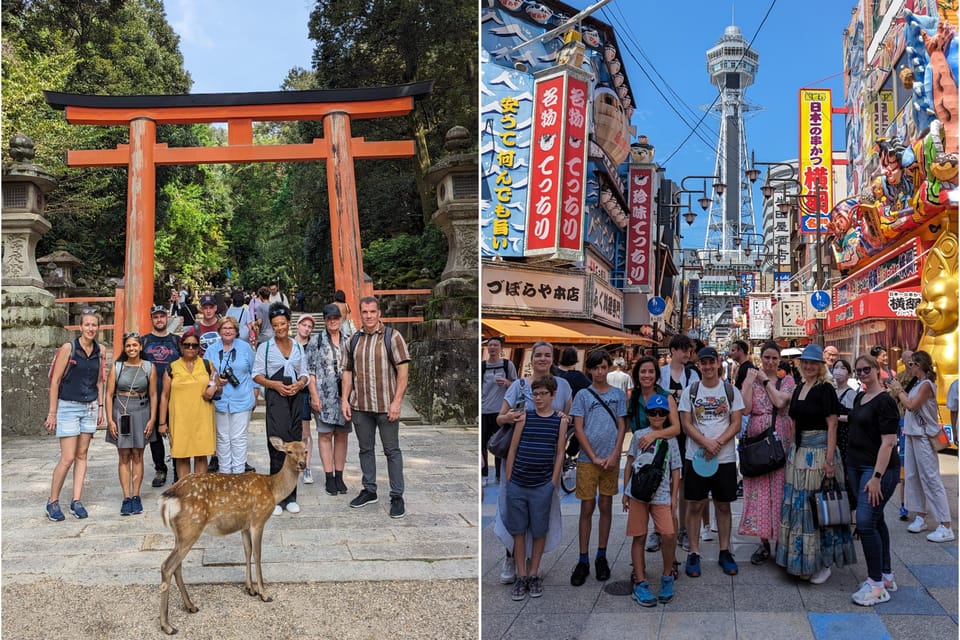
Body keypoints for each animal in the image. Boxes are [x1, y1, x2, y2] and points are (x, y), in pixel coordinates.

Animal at [159, 436, 306, 636]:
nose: (303, 464)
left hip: (180, 533)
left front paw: (250, 589)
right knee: (167, 566)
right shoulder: (258, 519)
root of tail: (169, 498)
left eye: (305, 450)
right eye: (289, 451)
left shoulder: (244, 526)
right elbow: (258, 554)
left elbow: (247, 551)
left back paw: (191, 606)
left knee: (177, 566)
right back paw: (167, 626)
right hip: (191, 528)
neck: (273, 490)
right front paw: (264, 594)